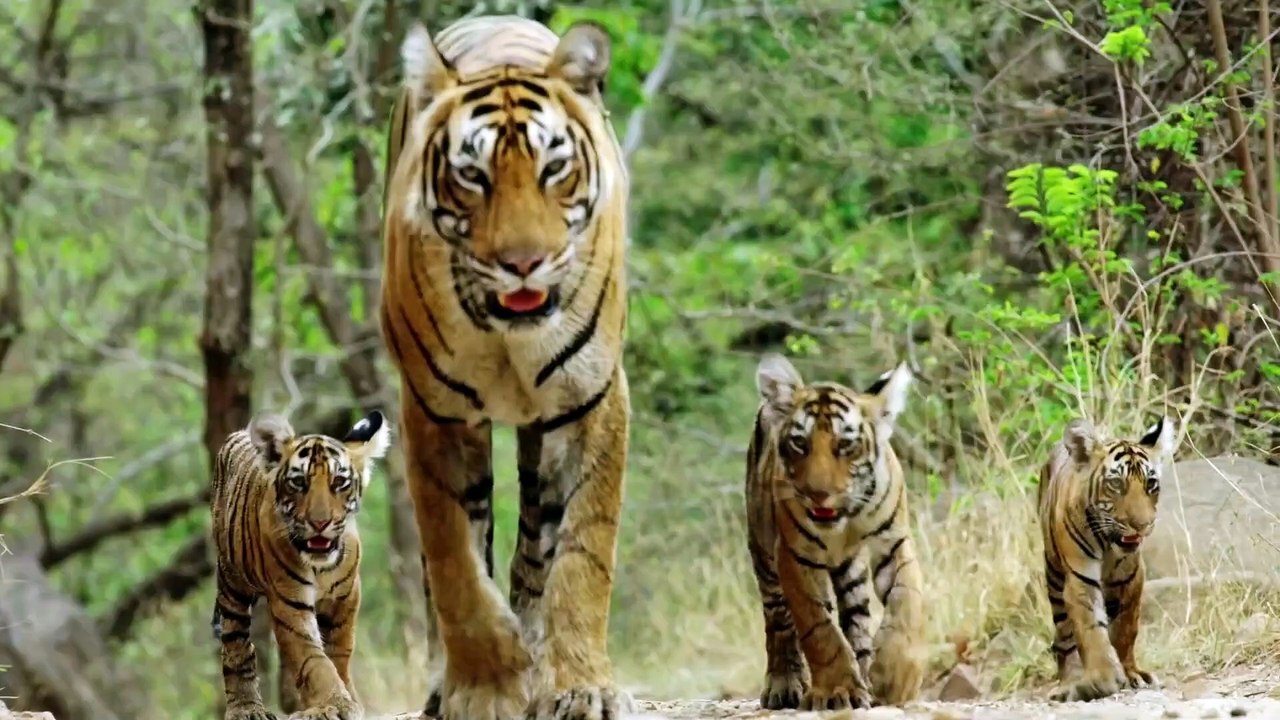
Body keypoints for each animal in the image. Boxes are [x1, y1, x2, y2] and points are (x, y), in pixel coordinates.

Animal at [210, 410, 390, 720]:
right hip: (232, 585)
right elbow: (313, 660)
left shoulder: (347, 597)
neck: (321, 566)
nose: (320, 523)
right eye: (298, 483)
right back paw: (246, 708)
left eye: (339, 482)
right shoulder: (290, 604)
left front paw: (343, 698)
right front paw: (335, 703)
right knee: (237, 646)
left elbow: (339, 651)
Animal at [377, 14, 631, 720]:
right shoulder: (434, 411)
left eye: (554, 168)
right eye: (473, 175)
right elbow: (456, 564)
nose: (523, 263)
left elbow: (583, 551)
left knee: (535, 550)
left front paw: (579, 685)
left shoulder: (594, 398)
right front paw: (486, 687)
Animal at [745, 353, 927, 711]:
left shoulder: (894, 541)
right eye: (799, 443)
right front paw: (835, 690)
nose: (818, 494)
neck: (847, 520)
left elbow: (907, 599)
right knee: (778, 620)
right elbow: (820, 629)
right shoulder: (794, 557)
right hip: (763, 551)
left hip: (852, 572)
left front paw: (894, 677)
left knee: (856, 618)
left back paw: (867, 675)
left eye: (845, 445)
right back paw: (784, 685)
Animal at [1036, 415, 1178, 702]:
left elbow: (1124, 629)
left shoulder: (1131, 578)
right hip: (1054, 576)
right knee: (1063, 638)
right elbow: (1092, 631)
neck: (1108, 544)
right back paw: (1068, 682)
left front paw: (1132, 673)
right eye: (1116, 484)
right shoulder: (1080, 579)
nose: (1142, 525)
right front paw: (1103, 679)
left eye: (1151, 484)